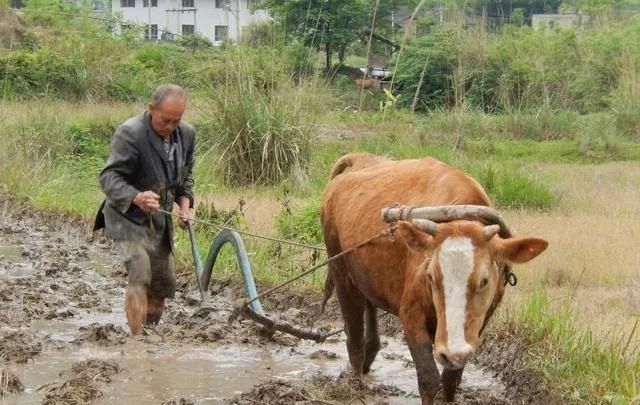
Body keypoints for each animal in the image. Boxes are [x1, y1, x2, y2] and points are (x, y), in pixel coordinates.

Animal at [322, 152, 548, 404]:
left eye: (484, 280)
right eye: (430, 276)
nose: (451, 351)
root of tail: (360, 158)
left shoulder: (481, 321)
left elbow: (451, 379)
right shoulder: (411, 316)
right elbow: (428, 378)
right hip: (340, 270)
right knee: (354, 335)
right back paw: (355, 383)